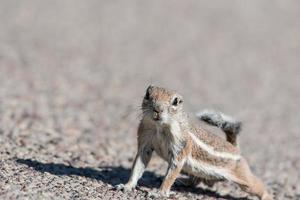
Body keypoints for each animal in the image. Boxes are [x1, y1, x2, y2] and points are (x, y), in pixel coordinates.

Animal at [116, 85, 274, 199]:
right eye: (148, 94)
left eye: (175, 102)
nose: (157, 109)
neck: (159, 127)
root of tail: (235, 149)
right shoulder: (145, 143)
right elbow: (137, 166)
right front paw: (127, 186)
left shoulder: (180, 149)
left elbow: (171, 174)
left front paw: (159, 193)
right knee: (197, 179)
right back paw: (184, 182)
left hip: (243, 177)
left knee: (257, 186)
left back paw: (267, 196)